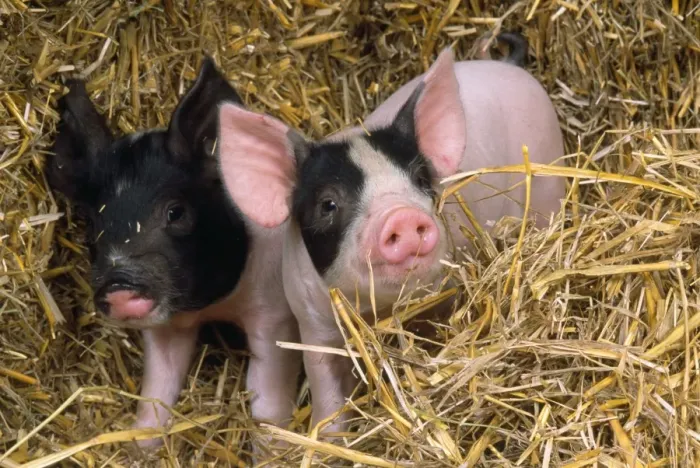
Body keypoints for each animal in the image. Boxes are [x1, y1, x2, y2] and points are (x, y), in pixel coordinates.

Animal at [46, 56, 301, 450]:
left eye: (176, 212)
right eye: (92, 226)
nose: (119, 285)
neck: (215, 306)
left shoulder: (274, 315)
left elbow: (267, 401)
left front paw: (273, 450)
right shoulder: (166, 327)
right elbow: (156, 392)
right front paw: (141, 450)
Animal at [216, 34, 565, 434]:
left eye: (420, 179)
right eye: (328, 204)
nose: (401, 216)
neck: (377, 313)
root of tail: (509, 67)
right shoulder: (313, 322)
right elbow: (327, 390)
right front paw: (331, 436)